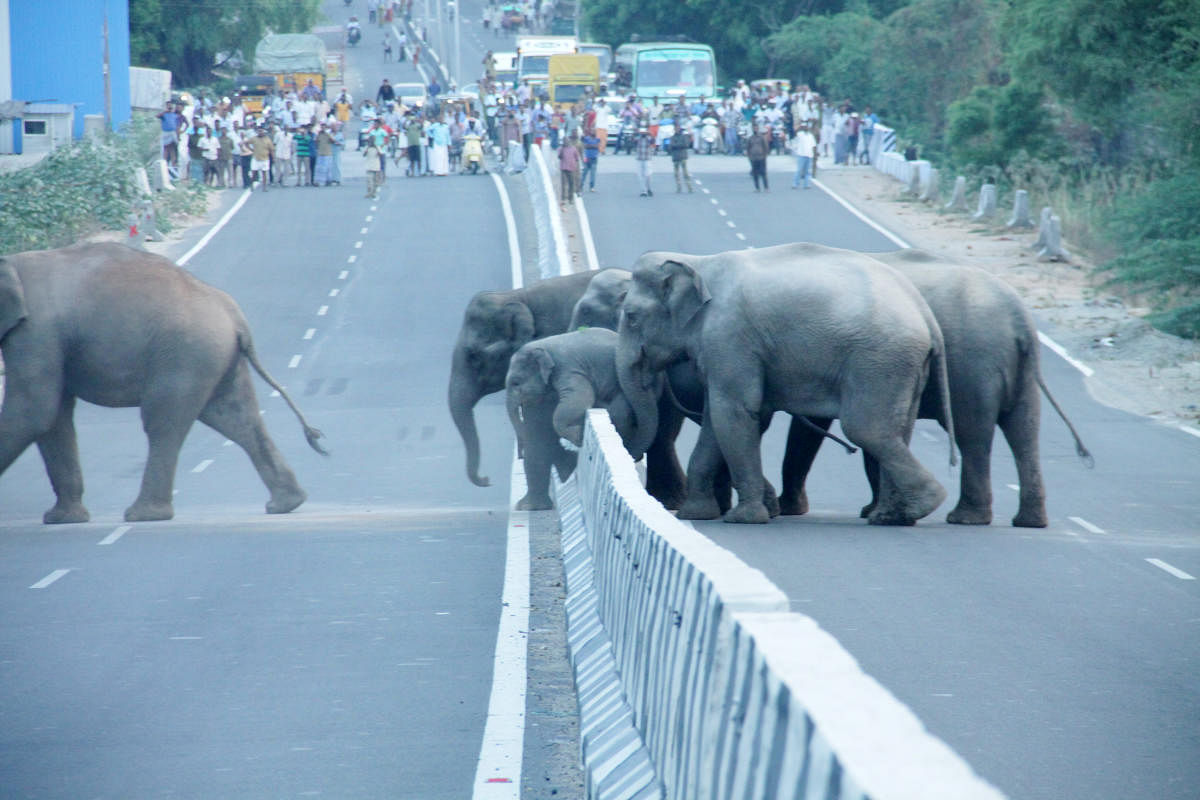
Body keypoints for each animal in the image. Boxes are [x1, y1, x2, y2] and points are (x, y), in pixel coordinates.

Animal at [0, 242, 328, 525]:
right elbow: (53, 418)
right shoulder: (44, 339)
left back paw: (143, 515)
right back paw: (286, 503)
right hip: (214, 357)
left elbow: (33, 411)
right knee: (236, 419)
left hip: (185, 355)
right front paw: (62, 519)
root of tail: (234, 314)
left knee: (163, 423)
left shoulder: (36, 333)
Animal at [504, 326, 648, 510]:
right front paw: (531, 508)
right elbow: (537, 438)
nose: (519, 455)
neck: (542, 346)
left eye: (516, 382)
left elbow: (580, 398)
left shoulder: (568, 369)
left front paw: (578, 436)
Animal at [614, 244, 950, 525]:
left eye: (631, 317)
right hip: (905, 366)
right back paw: (892, 516)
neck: (698, 263)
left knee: (866, 429)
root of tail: (925, 314)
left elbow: (733, 412)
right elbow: (716, 418)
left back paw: (924, 504)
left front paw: (744, 519)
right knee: (899, 430)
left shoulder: (730, 337)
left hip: (878, 360)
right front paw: (696, 515)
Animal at [782, 247, 1094, 527]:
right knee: (1023, 432)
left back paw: (966, 519)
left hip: (974, 368)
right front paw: (874, 510)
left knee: (973, 435)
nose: (849, 451)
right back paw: (1029, 522)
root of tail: (1020, 316)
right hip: (1019, 371)